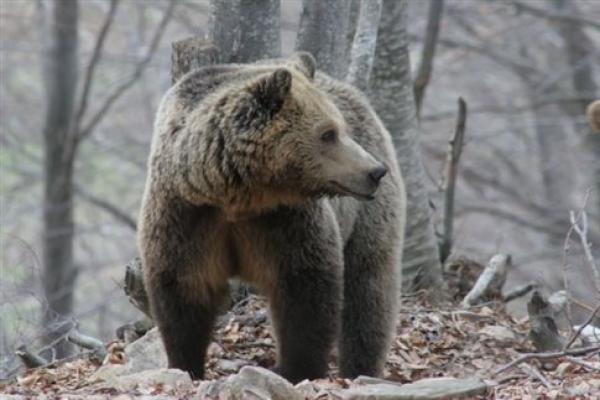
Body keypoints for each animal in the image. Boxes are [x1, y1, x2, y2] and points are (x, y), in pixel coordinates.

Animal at [138, 51, 406, 382]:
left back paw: (360, 367)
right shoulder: (187, 216)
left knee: (369, 289)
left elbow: (305, 291)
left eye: (339, 128)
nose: (374, 171)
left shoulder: (284, 221)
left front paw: (296, 368)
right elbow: (183, 290)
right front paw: (186, 364)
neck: (237, 195)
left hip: (366, 218)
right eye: (328, 134)